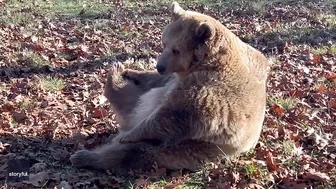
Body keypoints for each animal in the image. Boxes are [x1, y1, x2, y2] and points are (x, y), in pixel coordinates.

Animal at [69, 1, 270, 173]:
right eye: (163, 42)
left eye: (176, 50)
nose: (160, 67)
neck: (205, 63)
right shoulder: (175, 78)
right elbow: (154, 81)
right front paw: (131, 70)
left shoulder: (211, 89)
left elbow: (175, 114)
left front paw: (130, 136)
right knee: (132, 99)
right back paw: (116, 75)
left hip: (185, 148)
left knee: (134, 152)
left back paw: (86, 156)